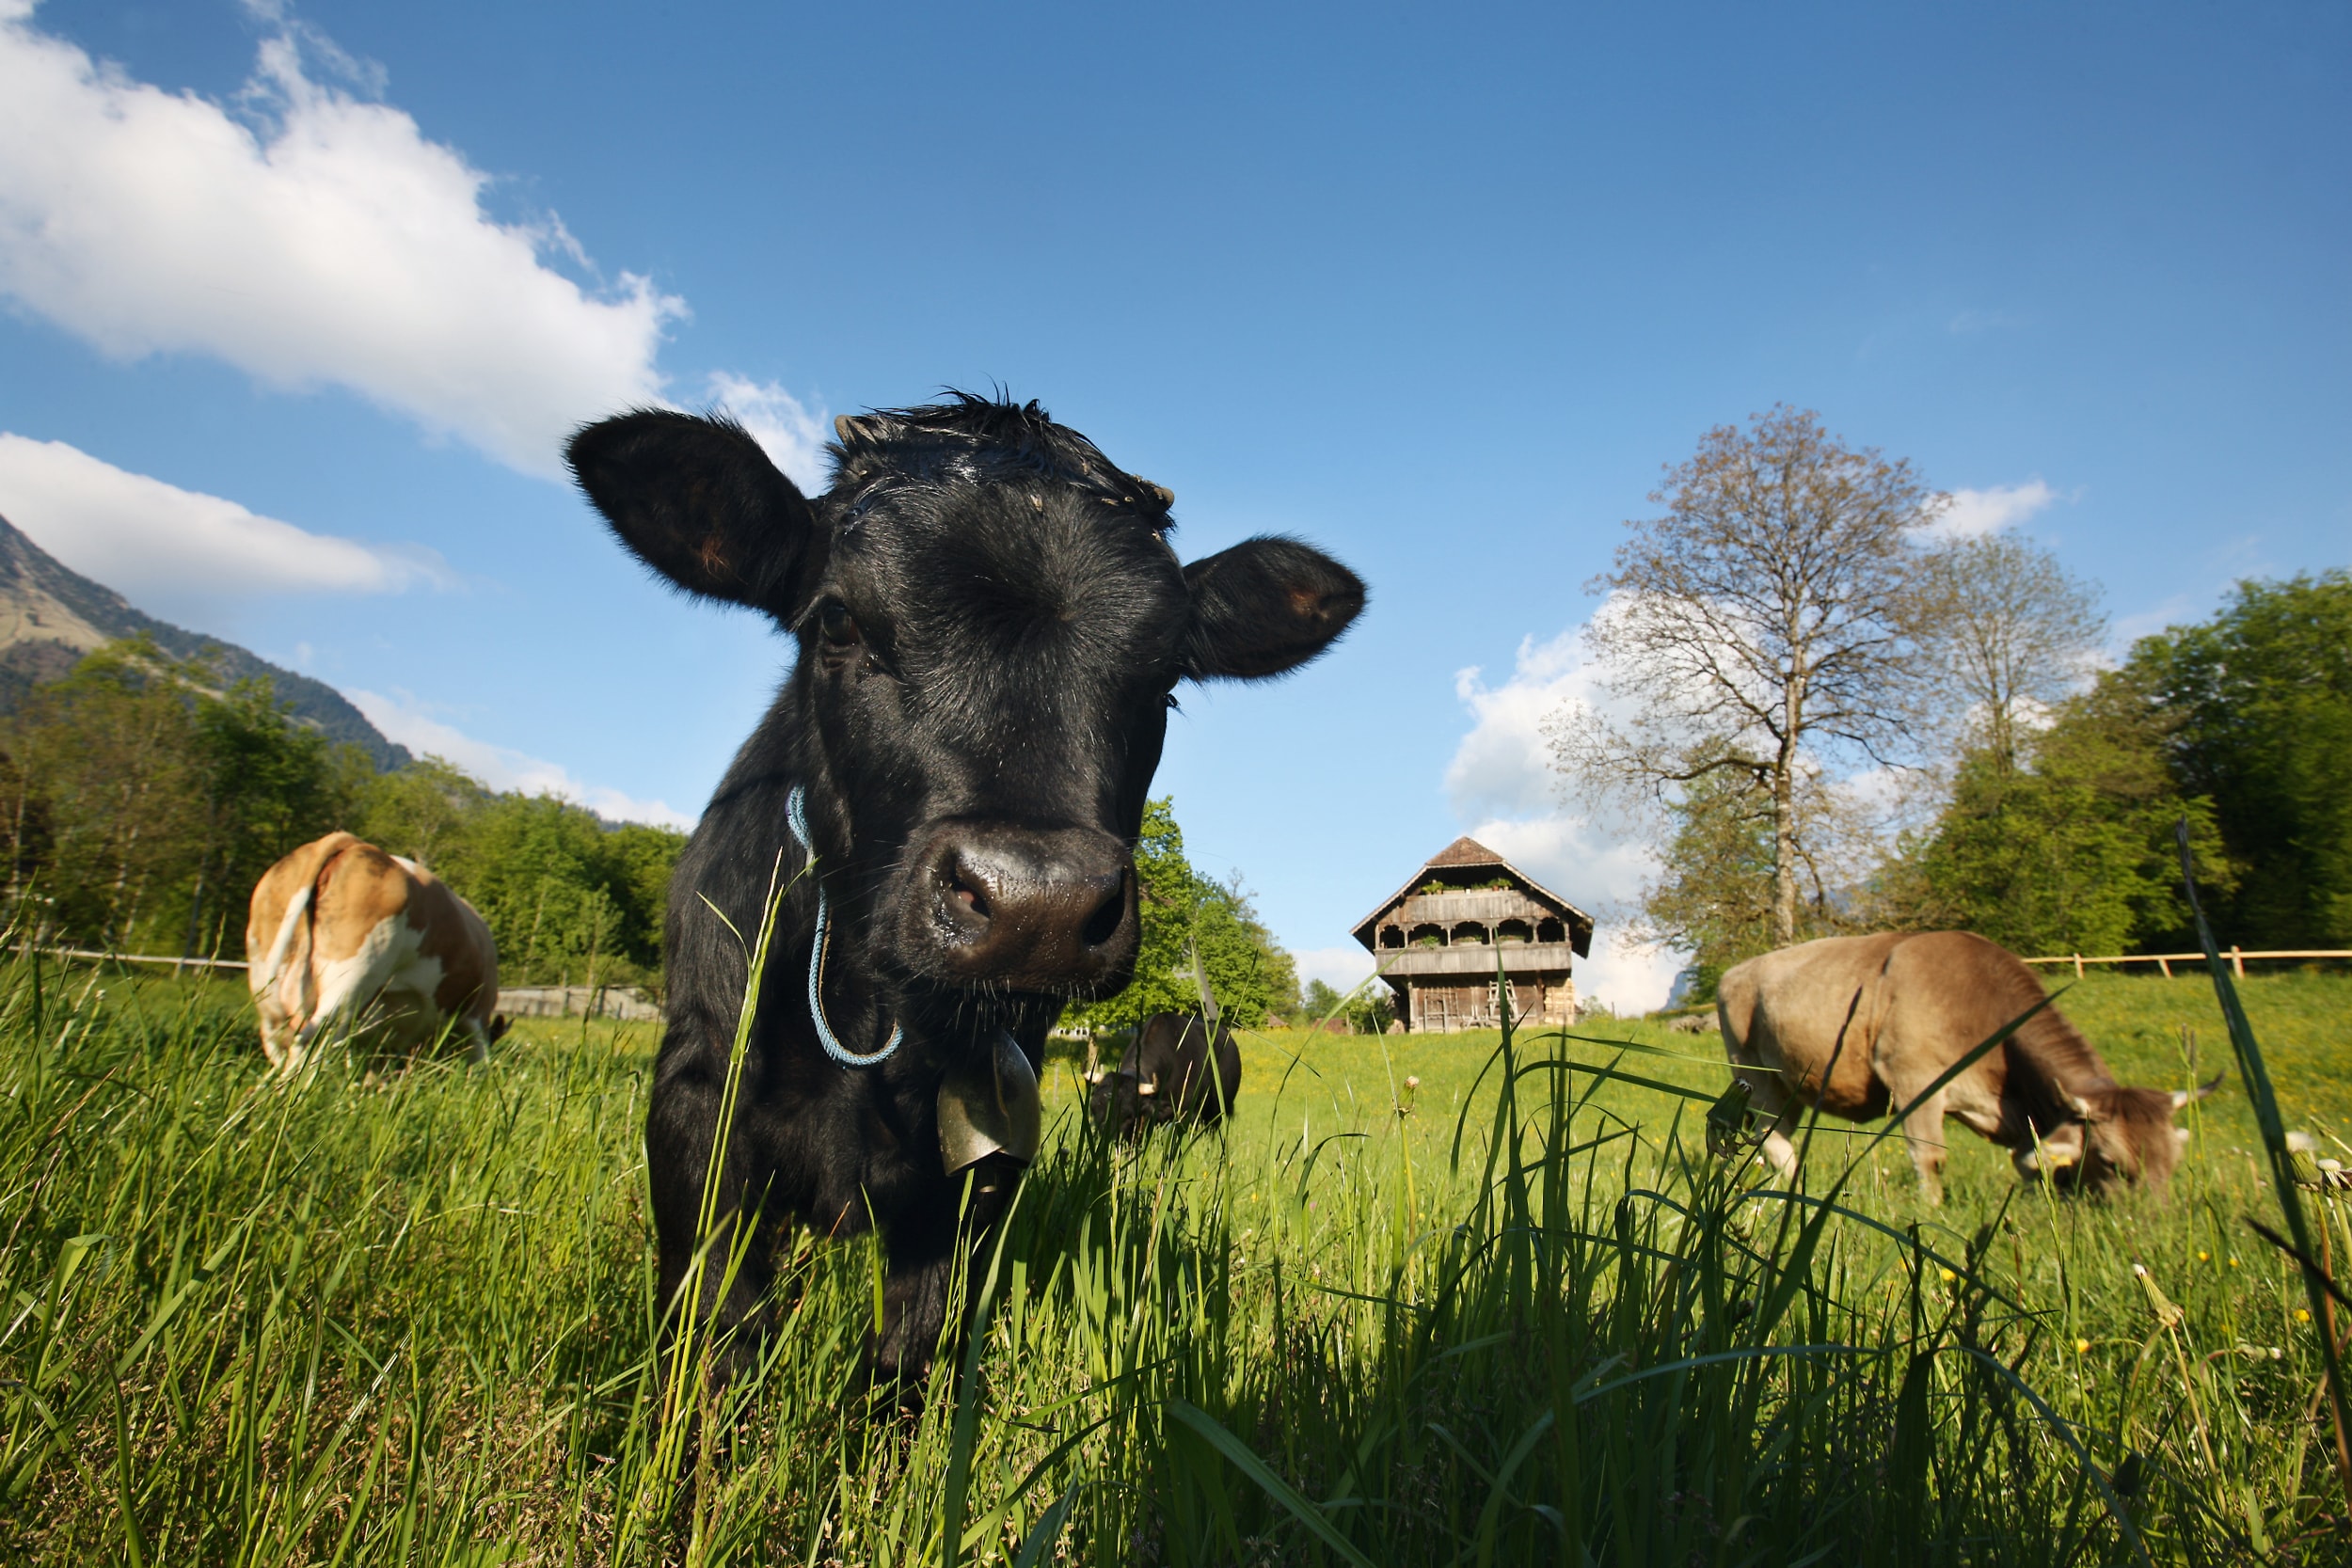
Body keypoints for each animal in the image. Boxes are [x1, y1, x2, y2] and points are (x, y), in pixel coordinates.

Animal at [246, 827, 501, 1071]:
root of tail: (352, 843)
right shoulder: (478, 1015)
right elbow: (480, 1060)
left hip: (265, 981)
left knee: (281, 1040)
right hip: (353, 976)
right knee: (317, 1037)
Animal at [566, 399, 1364, 1382]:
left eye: (1167, 678)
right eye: (837, 621)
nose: (1036, 902)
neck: (867, 1020)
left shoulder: (982, 1150)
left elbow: (916, 1340)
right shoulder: (696, 1096)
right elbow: (717, 1331)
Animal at [1722, 930, 2211, 1203]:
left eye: (2175, 1158)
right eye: (2111, 1162)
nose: (2152, 1220)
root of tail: (1737, 970)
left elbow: (2029, 1161)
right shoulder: (1914, 1081)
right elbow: (1930, 1156)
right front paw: (1930, 1211)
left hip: (1792, 1085)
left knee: (1780, 1137)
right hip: (1755, 1076)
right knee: (1774, 1142)